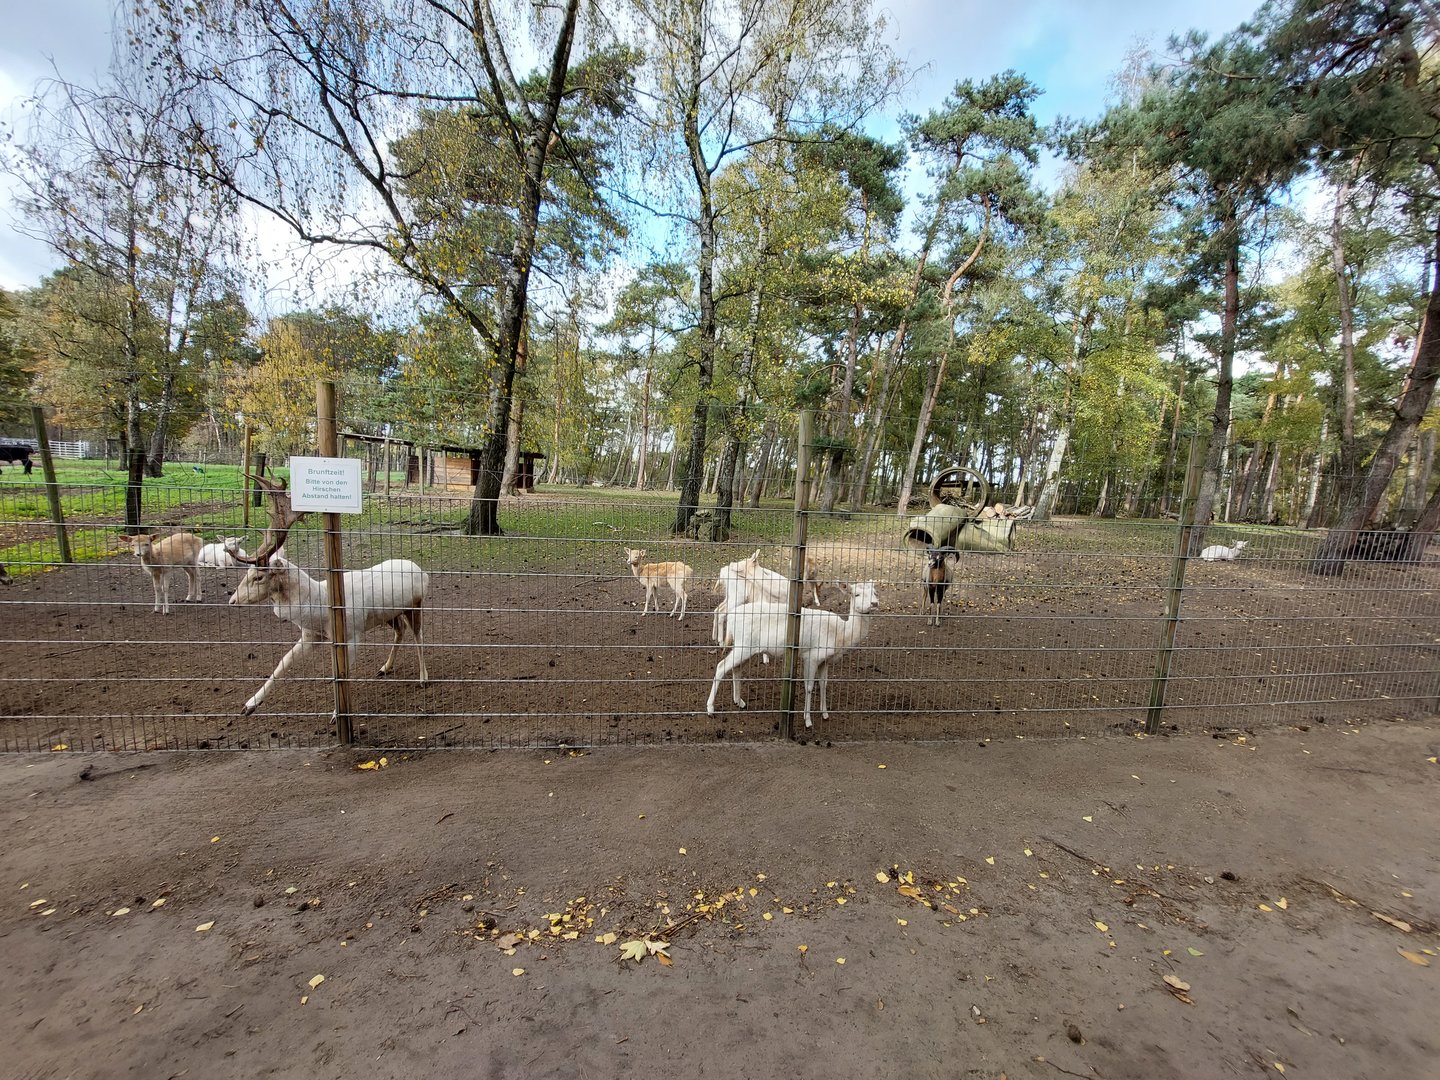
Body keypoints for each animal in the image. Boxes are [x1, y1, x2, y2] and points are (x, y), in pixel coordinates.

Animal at [229, 474, 430, 715]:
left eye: (258, 577)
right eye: (247, 573)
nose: (232, 600)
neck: (321, 607)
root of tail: (422, 571)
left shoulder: (352, 635)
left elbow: (340, 673)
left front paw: (336, 714)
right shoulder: (310, 635)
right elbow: (283, 662)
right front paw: (249, 704)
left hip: (415, 604)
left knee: (418, 635)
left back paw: (423, 678)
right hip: (389, 614)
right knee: (400, 631)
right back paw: (385, 667)